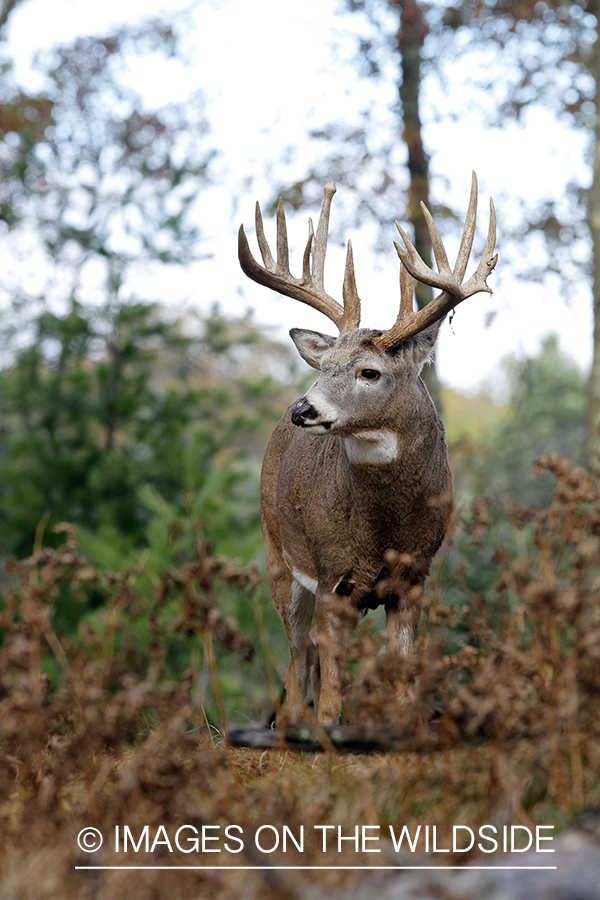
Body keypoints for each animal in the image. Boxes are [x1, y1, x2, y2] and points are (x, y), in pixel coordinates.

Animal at [239, 174, 496, 724]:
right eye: (323, 366)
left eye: (369, 372)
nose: (303, 410)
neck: (384, 527)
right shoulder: (334, 578)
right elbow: (331, 697)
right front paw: (328, 732)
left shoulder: (414, 577)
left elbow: (401, 686)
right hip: (278, 556)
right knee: (297, 662)